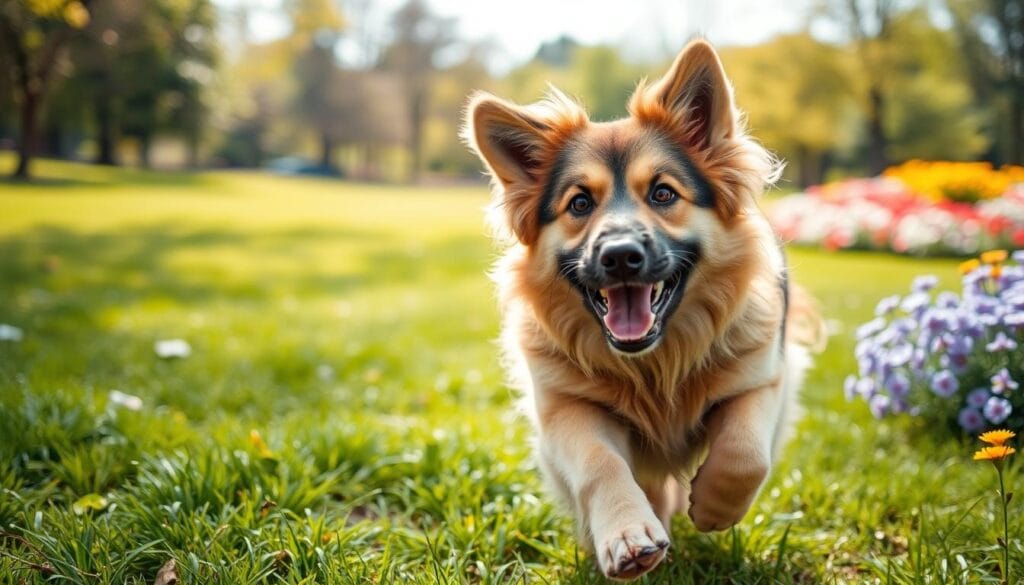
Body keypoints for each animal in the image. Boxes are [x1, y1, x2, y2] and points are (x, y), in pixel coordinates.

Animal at [460, 38, 819, 577]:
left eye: (663, 192)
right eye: (579, 204)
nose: (620, 255)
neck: (654, 366)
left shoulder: (765, 376)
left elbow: (746, 451)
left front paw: (714, 507)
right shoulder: (565, 406)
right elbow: (600, 463)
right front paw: (628, 534)